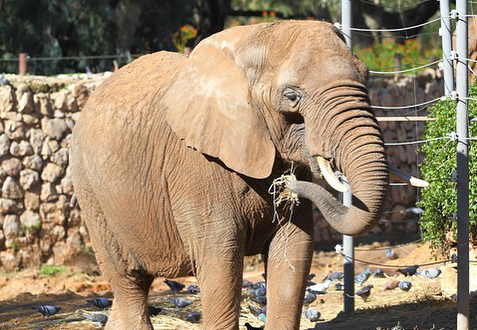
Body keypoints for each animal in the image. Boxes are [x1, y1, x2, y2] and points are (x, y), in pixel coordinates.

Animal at [70, 20, 388, 330]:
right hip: (90, 191)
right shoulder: (196, 164)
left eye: (366, 76)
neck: (252, 39)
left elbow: (293, 248)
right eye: (292, 96)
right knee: (128, 281)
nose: (290, 185)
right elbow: (220, 256)